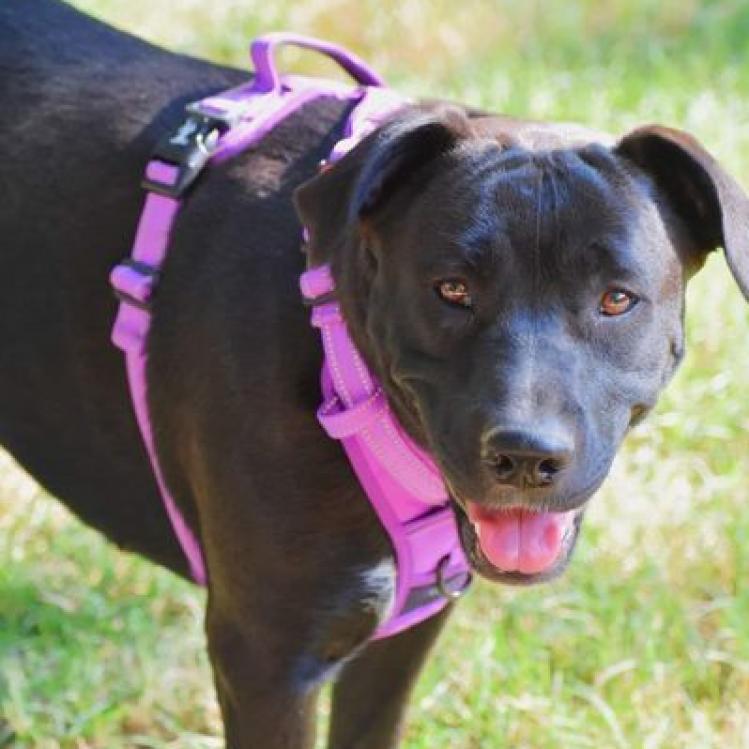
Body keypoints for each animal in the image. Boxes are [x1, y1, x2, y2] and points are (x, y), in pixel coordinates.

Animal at [1, 1, 748, 748]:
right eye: (451, 289)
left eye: (615, 299)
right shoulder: (266, 663)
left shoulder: (399, 639)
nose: (525, 458)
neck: (339, 364)